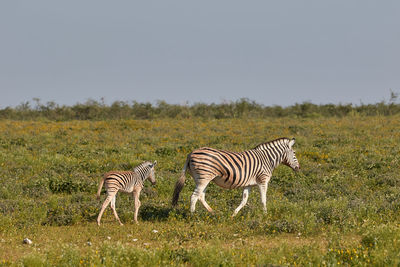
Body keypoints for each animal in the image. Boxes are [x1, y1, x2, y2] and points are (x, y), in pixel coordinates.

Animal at [172, 138, 300, 218]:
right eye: (294, 153)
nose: (298, 168)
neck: (267, 159)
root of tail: (191, 153)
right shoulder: (263, 180)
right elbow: (263, 199)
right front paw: (265, 215)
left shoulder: (248, 184)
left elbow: (244, 200)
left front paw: (233, 214)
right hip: (203, 178)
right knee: (194, 196)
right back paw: (193, 216)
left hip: (203, 178)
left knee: (201, 196)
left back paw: (213, 213)